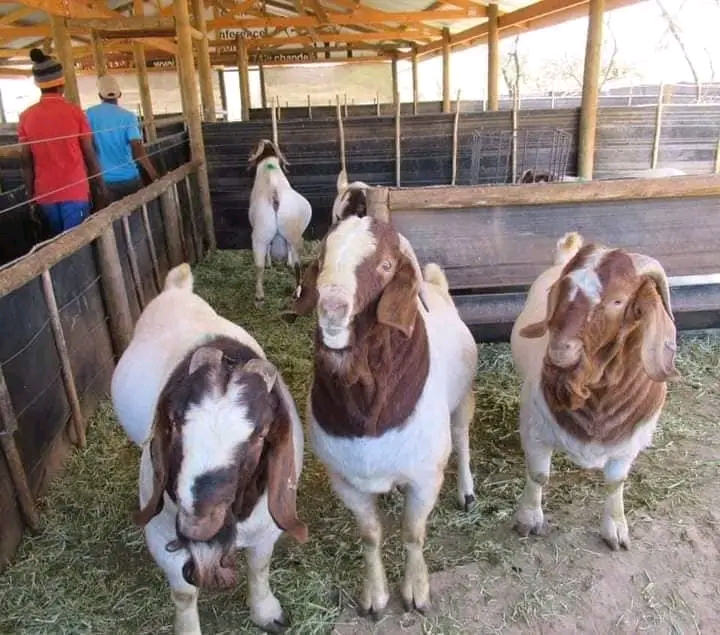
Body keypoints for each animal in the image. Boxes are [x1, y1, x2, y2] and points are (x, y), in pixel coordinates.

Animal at [111, 263, 308, 635]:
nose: (198, 527)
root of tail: (178, 289)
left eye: (260, 434)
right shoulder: (161, 536)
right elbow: (184, 593)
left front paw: (266, 611)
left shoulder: (267, 527)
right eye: (173, 422)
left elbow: (259, 567)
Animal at [247, 139, 312, 302]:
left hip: (260, 236)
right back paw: (296, 291)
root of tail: (275, 196)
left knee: (260, 266)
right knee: (297, 264)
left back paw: (259, 296)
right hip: (292, 236)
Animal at [294, 215, 477, 616]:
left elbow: (412, 533)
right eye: (323, 256)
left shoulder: (425, 477)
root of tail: (437, 286)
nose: (332, 307)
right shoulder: (345, 480)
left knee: (462, 439)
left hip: (461, 401)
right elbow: (370, 535)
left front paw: (416, 592)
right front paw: (375, 597)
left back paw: (467, 492)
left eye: (386, 266)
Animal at [510, 232, 679, 550]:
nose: (560, 351)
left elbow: (615, 483)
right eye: (561, 289)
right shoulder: (535, 429)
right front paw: (528, 519)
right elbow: (538, 475)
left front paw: (615, 529)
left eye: (618, 300)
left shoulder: (628, 446)